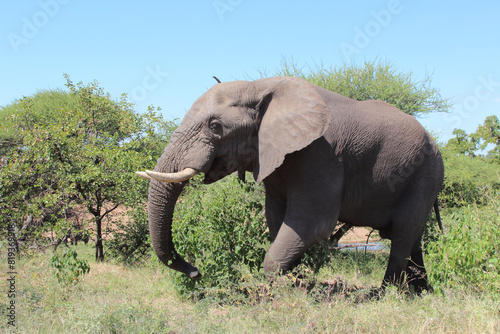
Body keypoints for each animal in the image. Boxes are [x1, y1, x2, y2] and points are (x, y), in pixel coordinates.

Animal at [137, 76, 446, 292]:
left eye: (215, 127)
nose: (196, 272)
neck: (259, 88)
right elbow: (278, 221)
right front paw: (296, 285)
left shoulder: (321, 154)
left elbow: (312, 225)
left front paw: (285, 290)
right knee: (411, 236)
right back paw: (421, 293)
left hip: (426, 175)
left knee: (403, 233)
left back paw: (383, 295)